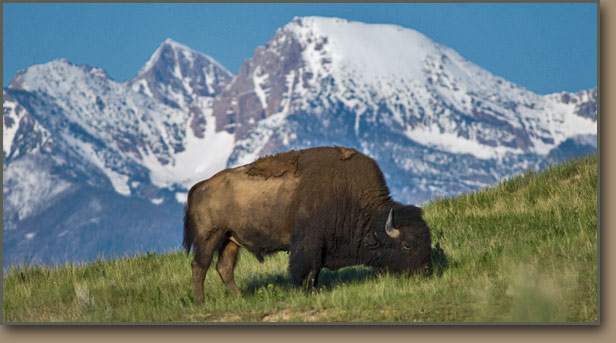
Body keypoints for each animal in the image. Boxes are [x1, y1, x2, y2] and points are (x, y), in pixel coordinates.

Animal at [183, 146, 434, 306]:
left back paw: (239, 297)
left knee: (224, 268)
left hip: (230, 240)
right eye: (407, 245)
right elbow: (306, 269)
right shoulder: (308, 243)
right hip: (209, 237)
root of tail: (200, 186)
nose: (425, 271)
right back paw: (201, 303)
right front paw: (305, 292)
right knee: (199, 266)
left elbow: (316, 270)